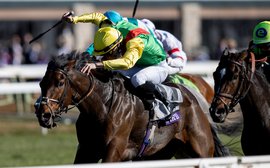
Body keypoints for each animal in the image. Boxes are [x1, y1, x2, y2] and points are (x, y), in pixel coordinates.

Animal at [34, 52, 229, 163]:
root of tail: (195, 100)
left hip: (202, 149)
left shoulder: (115, 148)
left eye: (60, 82)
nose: (43, 115)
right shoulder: (86, 150)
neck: (103, 105)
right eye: (41, 83)